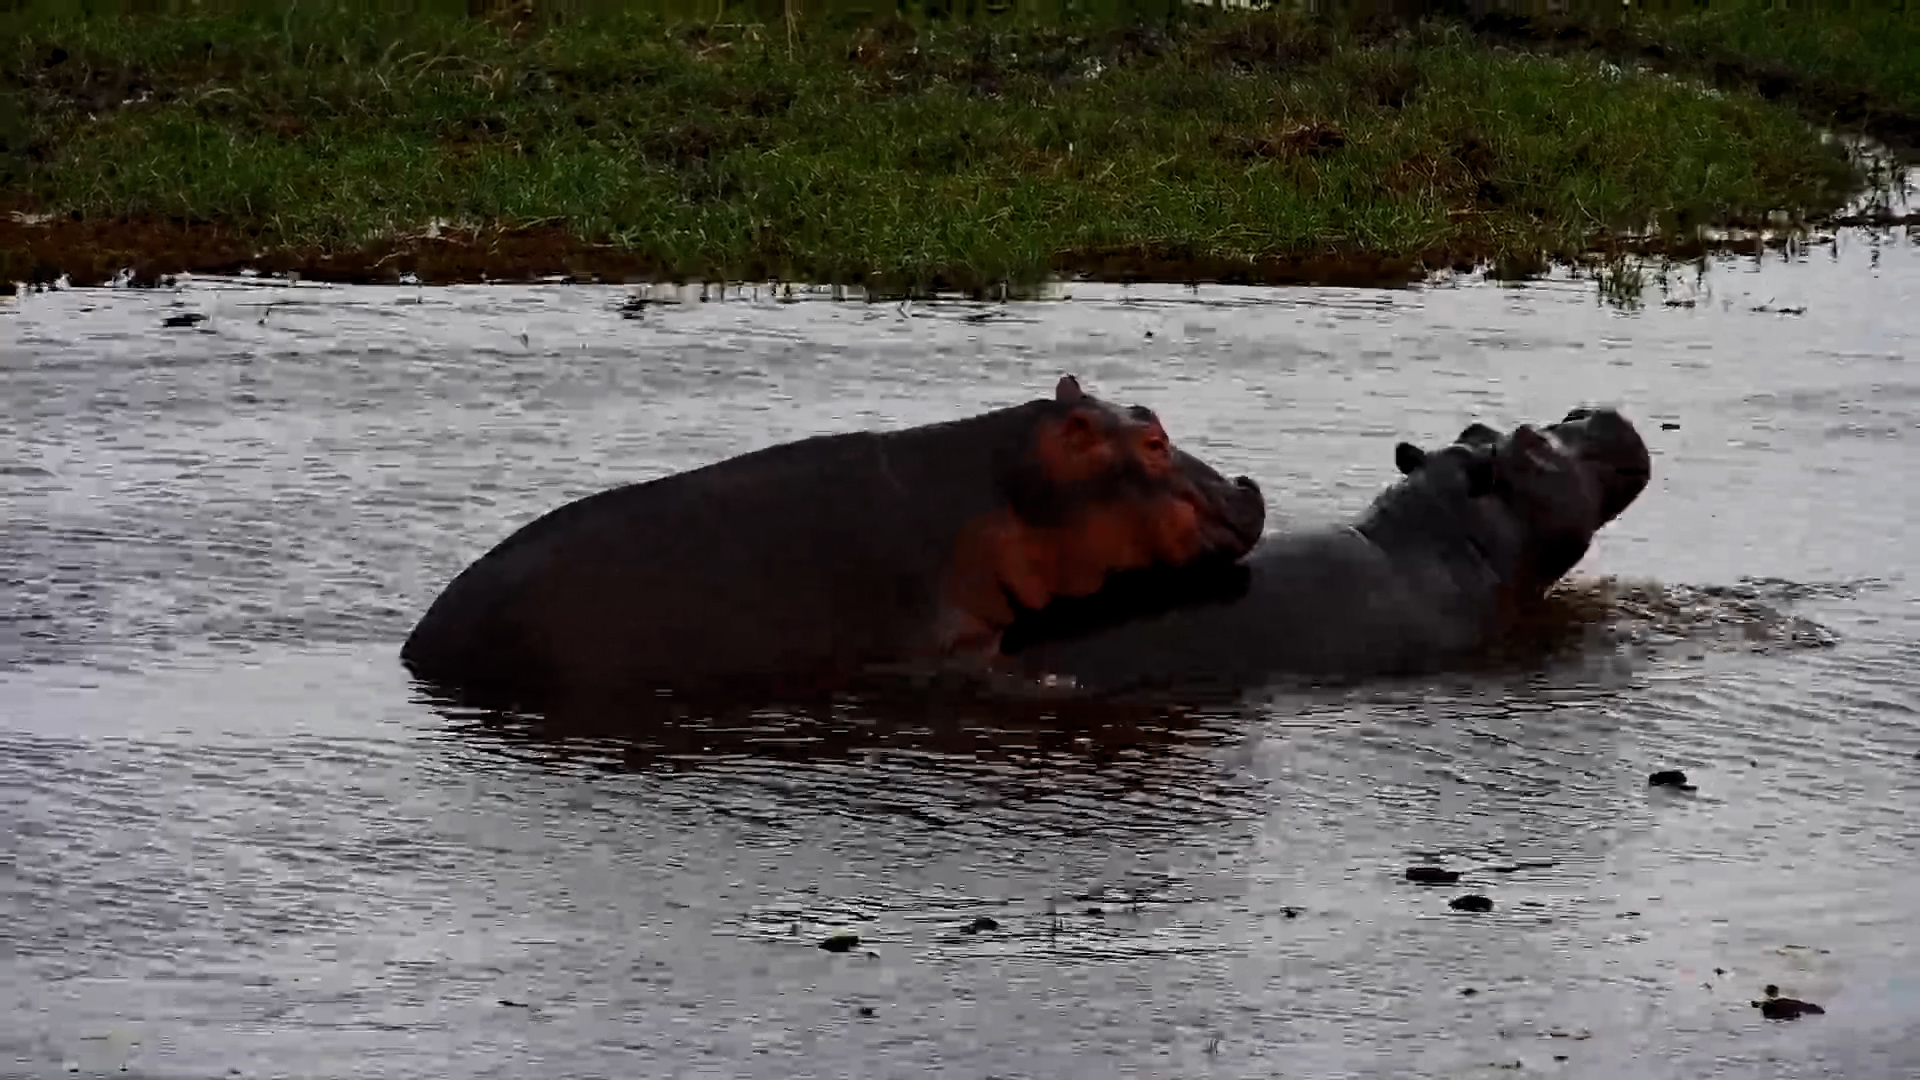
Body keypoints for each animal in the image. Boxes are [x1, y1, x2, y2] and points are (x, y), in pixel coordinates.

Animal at [400, 375, 1267, 707]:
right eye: (1153, 440)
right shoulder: (947, 646)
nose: (1248, 486)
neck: (1003, 486)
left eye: (1147, 411)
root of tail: (415, 647)